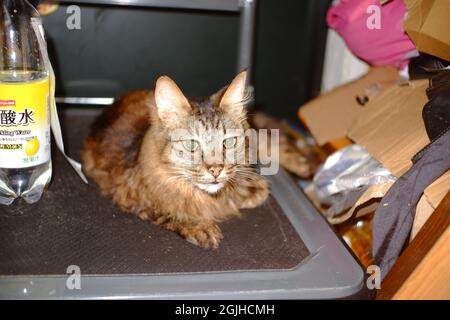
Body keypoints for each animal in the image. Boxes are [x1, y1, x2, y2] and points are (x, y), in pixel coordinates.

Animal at [82, 71, 268, 249]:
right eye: (191, 144)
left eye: (228, 142)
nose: (216, 169)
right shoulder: (127, 196)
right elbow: (172, 210)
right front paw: (201, 227)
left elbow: (258, 191)